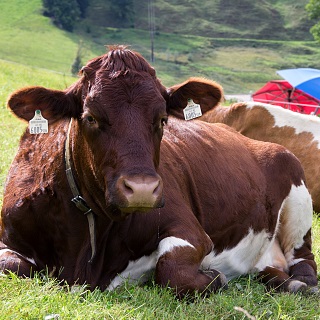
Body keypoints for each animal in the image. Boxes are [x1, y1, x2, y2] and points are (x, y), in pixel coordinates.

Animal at [0, 45, 318, 298]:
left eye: (163, 119)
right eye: (90, 117)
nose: (141, 189)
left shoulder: (191, 230)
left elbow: (173, 271)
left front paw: (215, 277)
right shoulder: (9, 238)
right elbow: (12, 265)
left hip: (297, 192)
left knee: (304, 258)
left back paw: (300, 283)